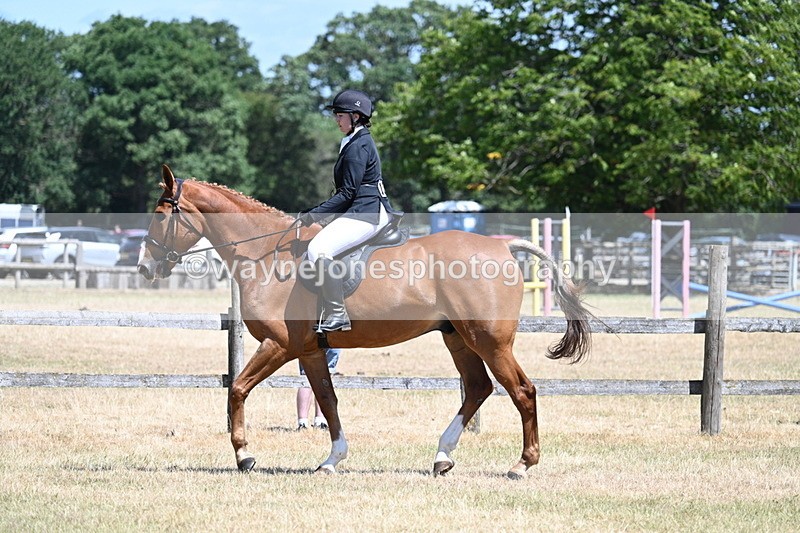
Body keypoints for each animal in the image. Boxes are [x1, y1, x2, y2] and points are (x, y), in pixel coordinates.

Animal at [138, 164, 593, 479]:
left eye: (160, 216)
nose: (144, 267)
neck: (268, 256)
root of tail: (503, 248)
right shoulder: (310, 351)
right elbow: (327, 401)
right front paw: (331, 460)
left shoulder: (279, 346)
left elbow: (237, 389)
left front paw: (244, 455)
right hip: (458, 338)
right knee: (478, 387)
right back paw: (442, 457)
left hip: (490, 341)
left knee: (521, 390)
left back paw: (521, 465)